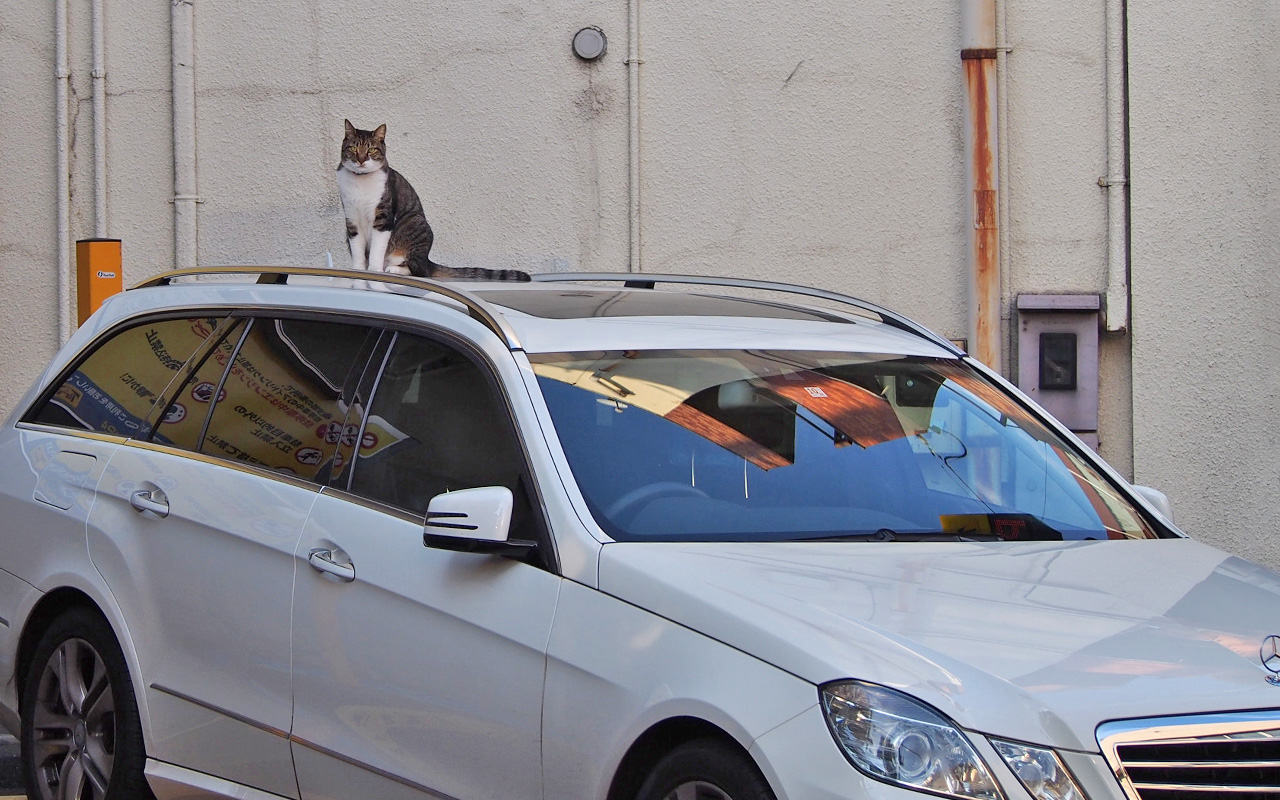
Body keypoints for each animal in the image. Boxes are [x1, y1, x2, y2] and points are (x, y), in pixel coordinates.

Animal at [335, 118, 529, 280]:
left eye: (371, 149)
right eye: (353, 148)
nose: (361, 160)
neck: (360, 181)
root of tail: (428, 259)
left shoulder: (383, 218)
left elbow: (377, 248)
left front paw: (374, 271)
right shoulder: (351, 219)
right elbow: (357, 249)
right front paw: (358, 270)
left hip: (415, 222)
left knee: (420, 270)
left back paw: (394, 269)